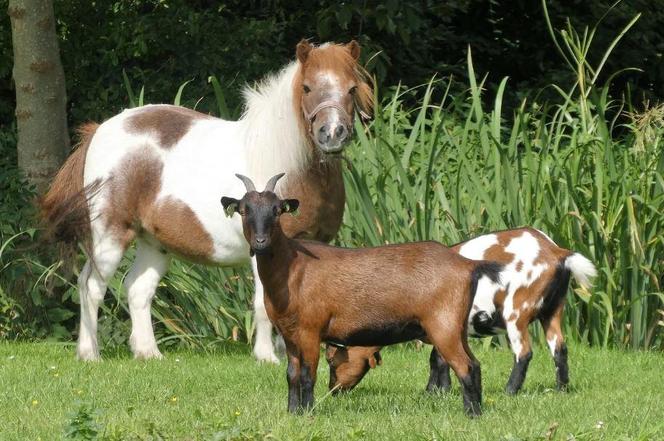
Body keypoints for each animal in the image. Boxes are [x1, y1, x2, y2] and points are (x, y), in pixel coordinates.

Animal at [41, 39, 374, 360]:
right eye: (307, 87)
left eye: (351, 88)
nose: (332, 133)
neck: (288, 166)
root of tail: (99, 130)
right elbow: (263, 304)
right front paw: (267, 357)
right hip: (109, 237)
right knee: (91, 287)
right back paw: (90, 354)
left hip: (154, 244)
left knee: (137, 289)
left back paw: (149, 354)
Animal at [220, 173, 500, 416]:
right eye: (244, 210)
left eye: (277, 210)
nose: (261, 242)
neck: (293, 268)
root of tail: (467, 264)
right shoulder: (288, 333)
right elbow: (291, 375)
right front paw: (292, 412)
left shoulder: (311, 330)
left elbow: (308, 375)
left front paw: (308, 413)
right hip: (457, 326)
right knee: (475, 364)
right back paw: (476, 410)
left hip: (443, 325)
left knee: (464, 366)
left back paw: (472, 415)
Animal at [326, 229, 596, 394]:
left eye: (331, 360)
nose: (333, 390)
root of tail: (556, 252)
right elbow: (437, 358)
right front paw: (435, 391)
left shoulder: (441, 324)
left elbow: (439, 359)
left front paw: (436, 391)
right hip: (553, 310)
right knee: (559, 348)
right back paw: (561, 389)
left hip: (517, 310)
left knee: (524, 352)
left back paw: (510, 391)